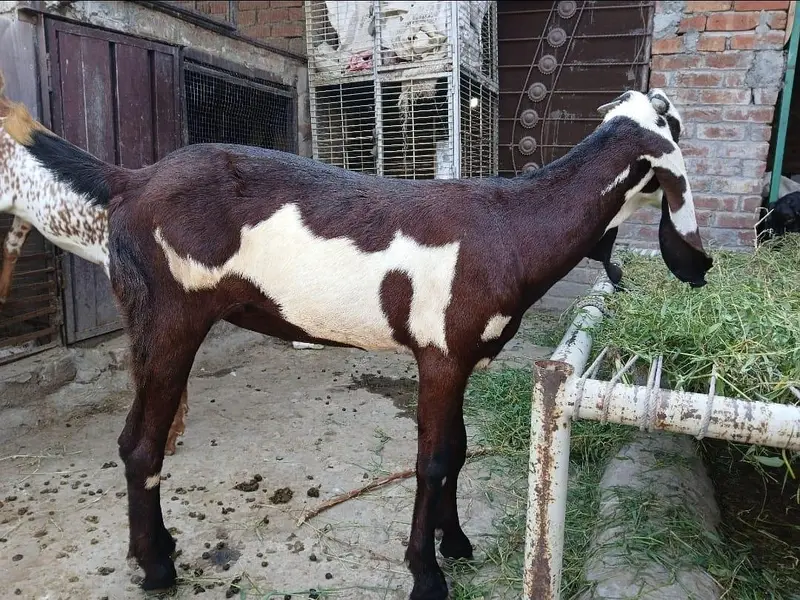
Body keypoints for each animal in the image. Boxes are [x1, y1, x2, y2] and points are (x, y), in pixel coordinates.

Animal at [2, 82, 712, 599]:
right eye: (675, 133)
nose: (700, 265)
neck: (512, 225)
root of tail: (132, 184)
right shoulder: (441, 356)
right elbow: (433, 459)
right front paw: (426, 576)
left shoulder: (456, 359)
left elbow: (457, 450)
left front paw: (457, 545)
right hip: (168, 318)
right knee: (139, 445)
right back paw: (156, 569)